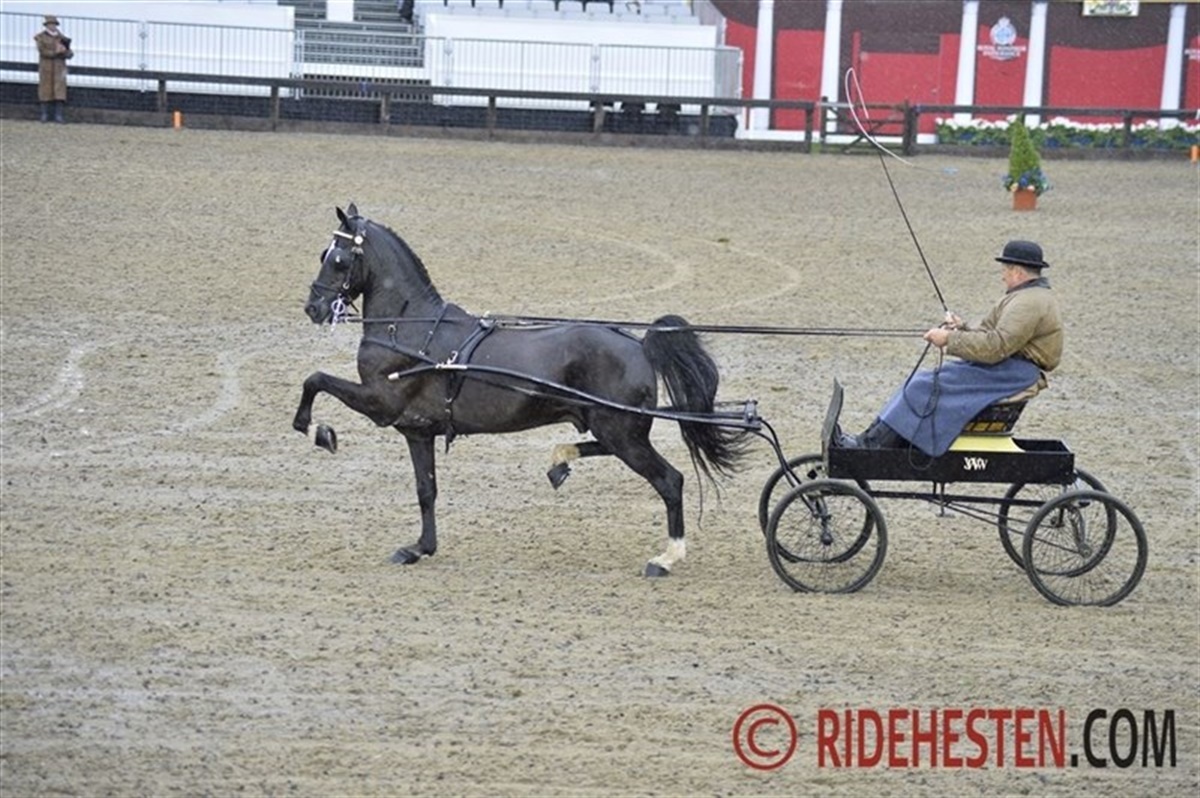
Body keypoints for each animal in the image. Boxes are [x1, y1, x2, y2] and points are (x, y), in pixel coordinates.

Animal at [292, 204, 749, 576]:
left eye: (337, 259)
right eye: (321, 255)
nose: (313, 308)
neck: (410, 329)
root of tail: (639, 345)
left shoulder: (380, 403)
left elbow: (315, 380)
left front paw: (319, 432)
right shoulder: (417, 430)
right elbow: (426, 490)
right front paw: (420, 548)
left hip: (621, 431)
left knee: (670, 481)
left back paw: (666, 558)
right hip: (613, 427)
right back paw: (560, 462)